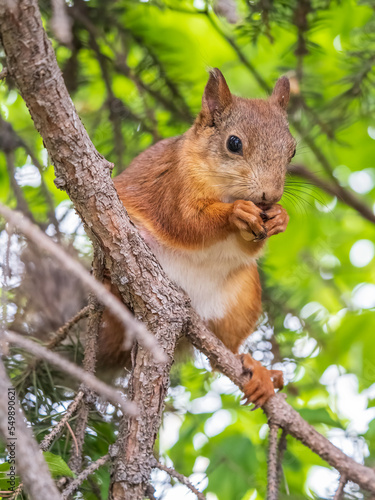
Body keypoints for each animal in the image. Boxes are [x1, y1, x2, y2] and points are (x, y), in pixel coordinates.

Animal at [99, 68, 296, 408]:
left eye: (292, 150)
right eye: (233, 143)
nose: (270, 196)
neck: (225, 189)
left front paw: (280, 218)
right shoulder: (174, 186)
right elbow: (188, 222)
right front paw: (236, 213)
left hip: (243, 300)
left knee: (224, 356)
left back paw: (257, 370)